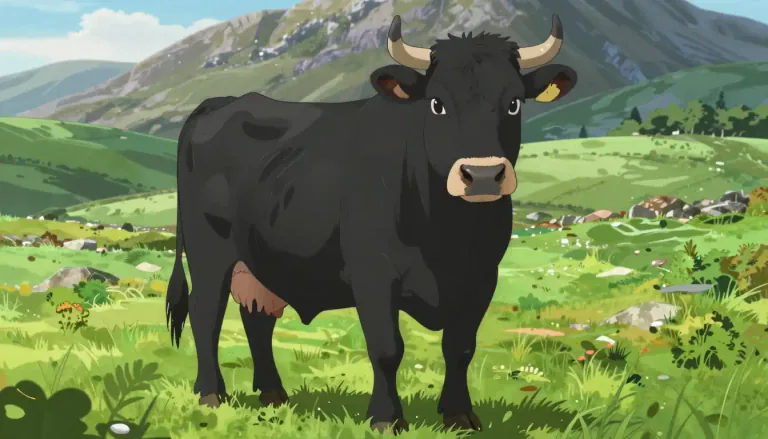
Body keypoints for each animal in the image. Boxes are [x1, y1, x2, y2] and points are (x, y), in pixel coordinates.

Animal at [166, 14, 577, 433]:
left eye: (513, 103)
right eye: (437, 103)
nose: (481, 175)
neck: (449, 237)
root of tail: (223, 103)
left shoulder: (481, 277)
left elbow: (460, 347)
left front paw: (459, 415)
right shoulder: (373, 274)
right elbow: (386, 348)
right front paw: (386, 418)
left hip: (262, 259)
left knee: (257, 318)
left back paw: (274, 395)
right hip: (209, 251)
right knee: (205, 313)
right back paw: (211, 394)